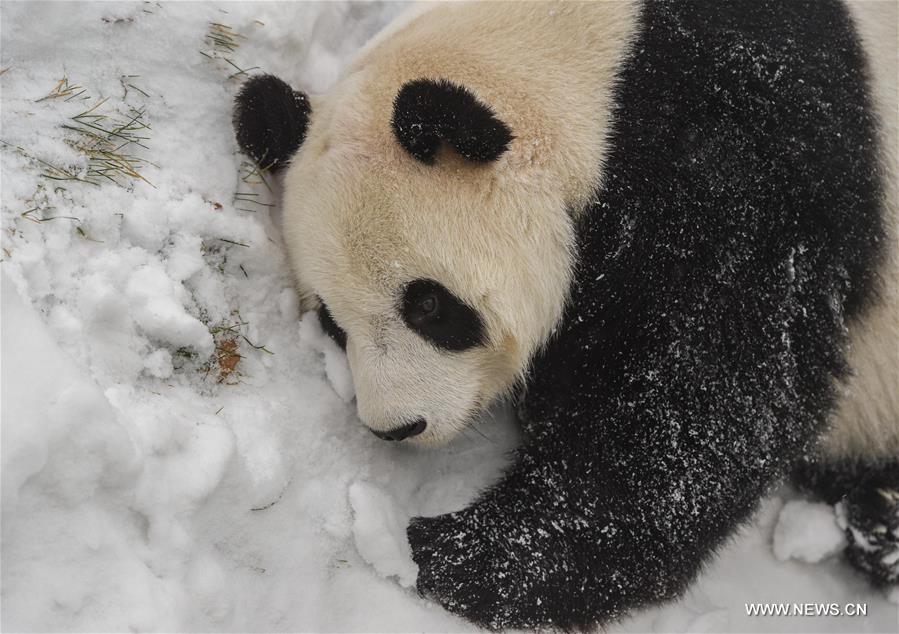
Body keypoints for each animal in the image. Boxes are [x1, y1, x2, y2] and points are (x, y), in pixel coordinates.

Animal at [233, 0, 898, 629]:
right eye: (332, 324)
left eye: (428, 305)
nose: (396, 426)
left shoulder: (745, 154)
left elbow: (706, 392)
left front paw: (463, 555)